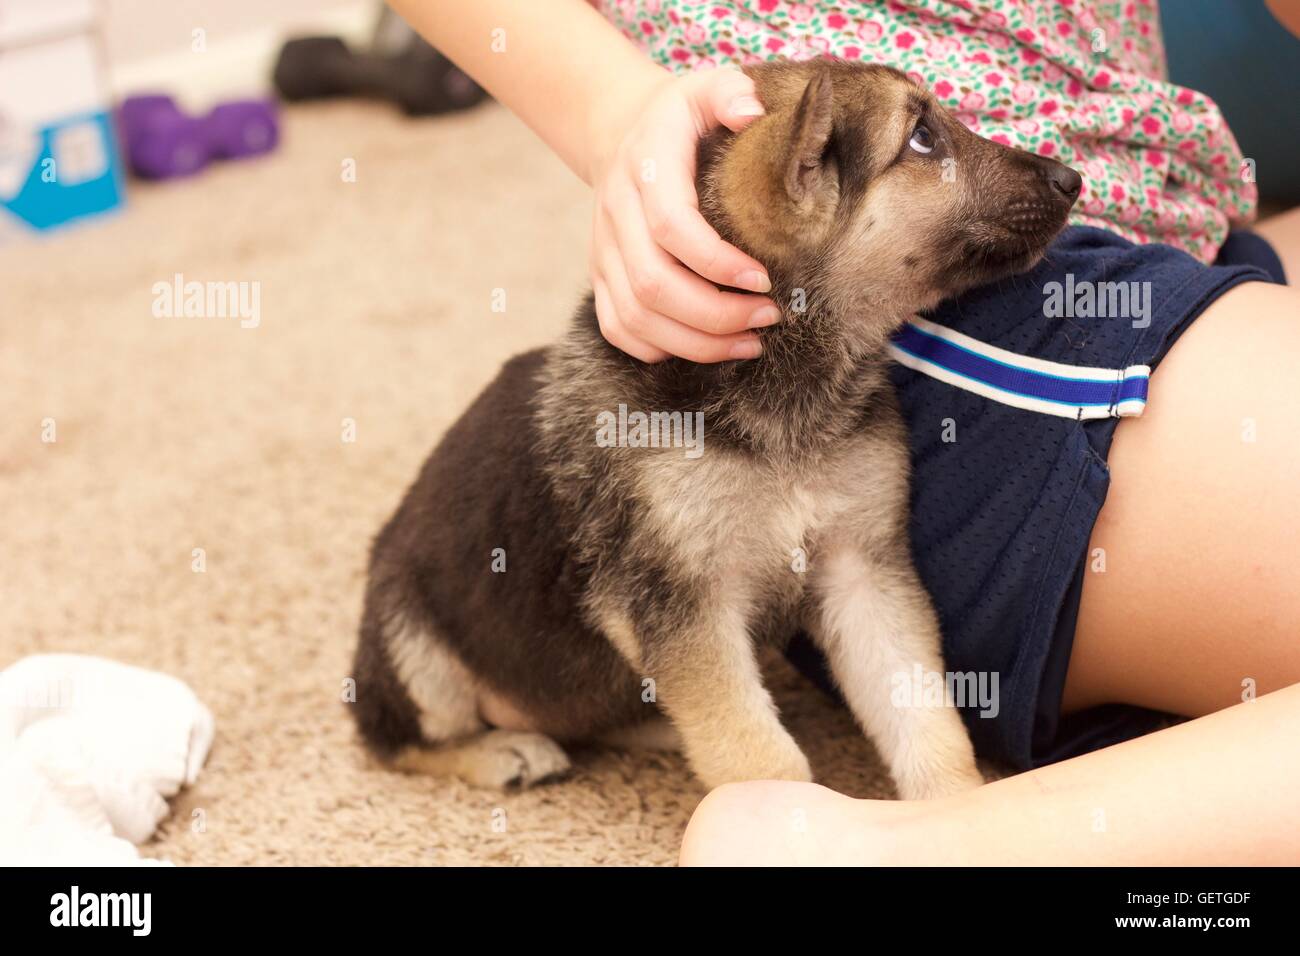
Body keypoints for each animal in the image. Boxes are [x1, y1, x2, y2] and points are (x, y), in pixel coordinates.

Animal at [351, 55, 1081, 796]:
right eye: (923, 139)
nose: (1071, 179)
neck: (780, 387)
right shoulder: (683, 608)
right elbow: (757, 752)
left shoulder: (863, 572)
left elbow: (925, 720)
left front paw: (955, 803)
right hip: (415, 650)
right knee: (394, 740)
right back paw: (501, 751)